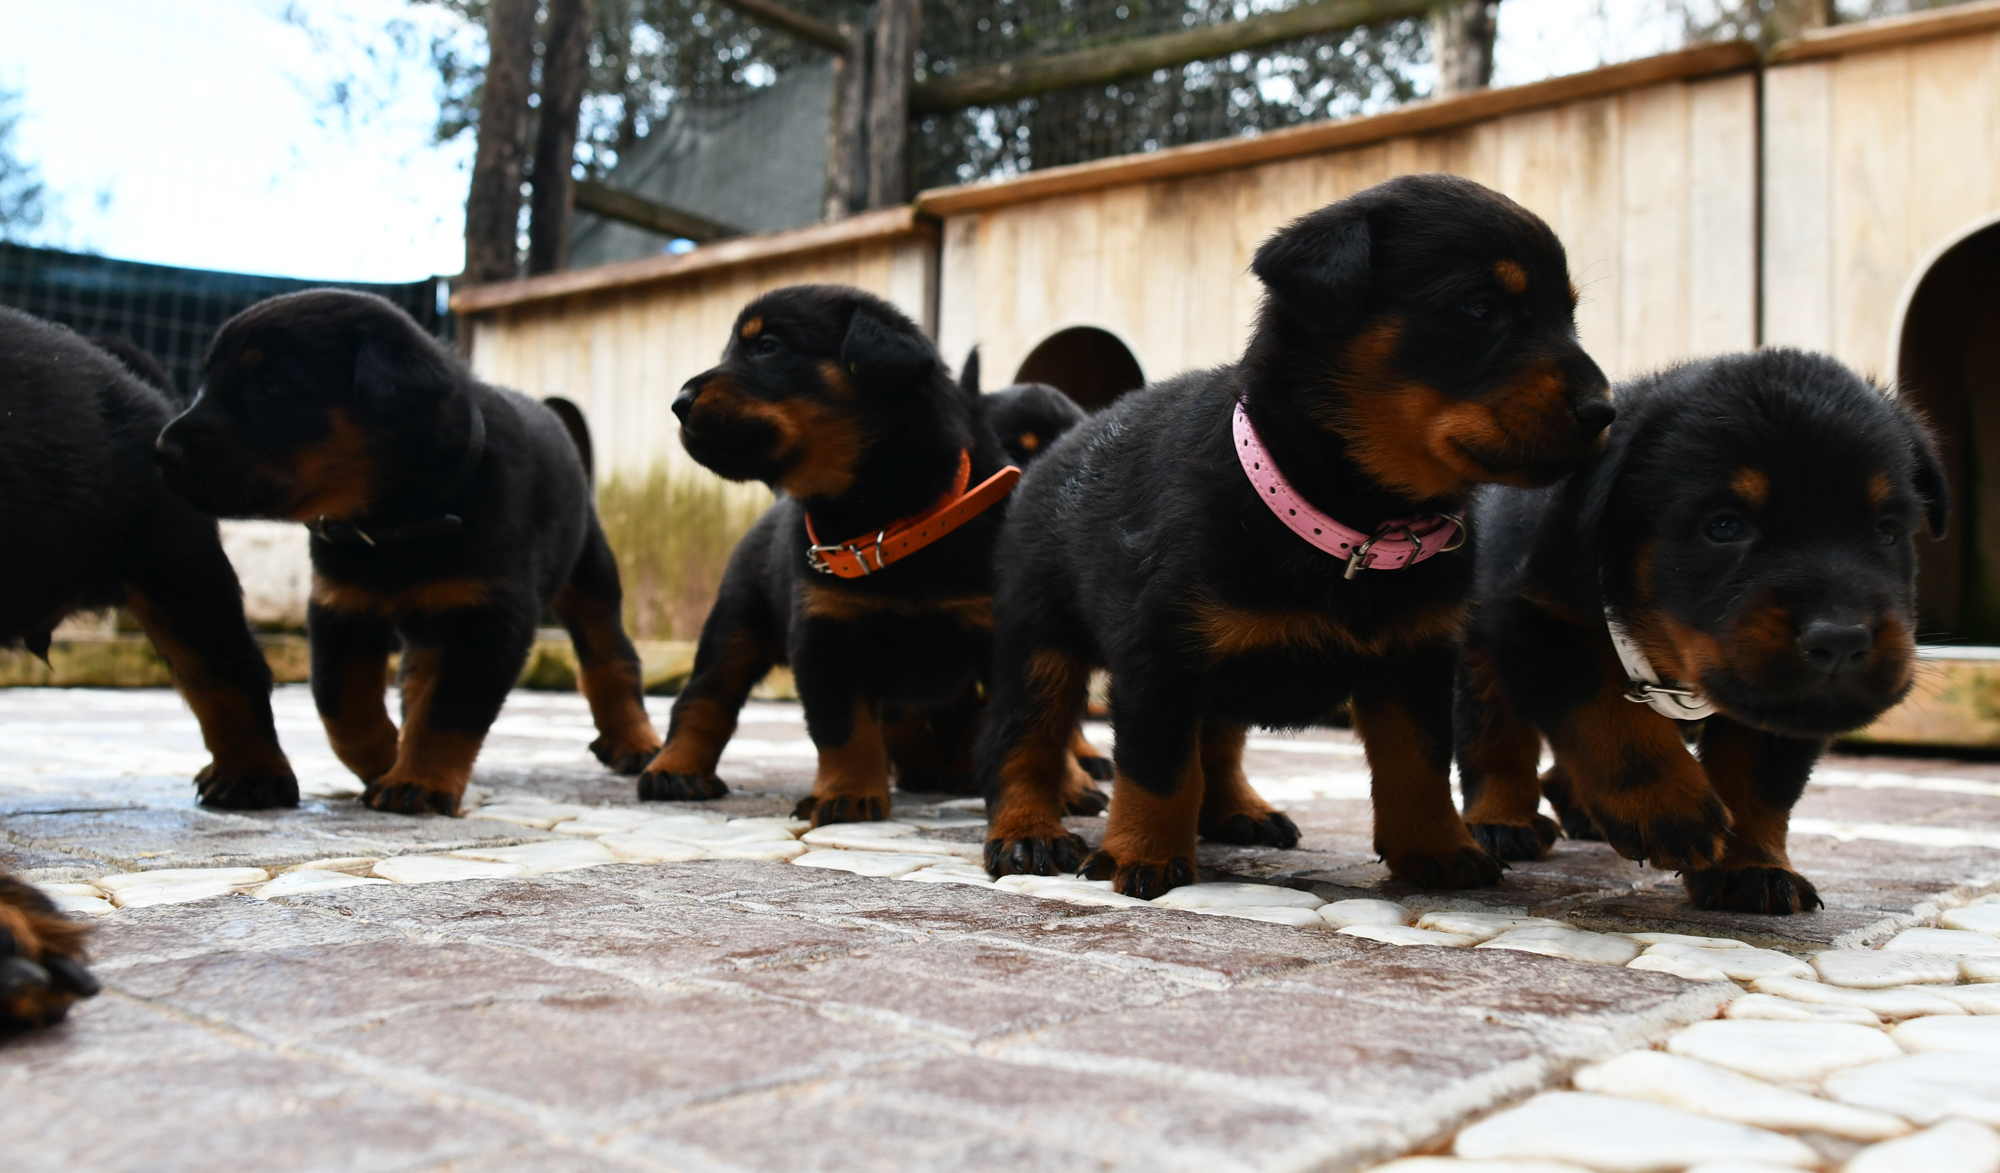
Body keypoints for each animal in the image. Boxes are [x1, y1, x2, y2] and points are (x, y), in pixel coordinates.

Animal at [156, 291, 661, 815]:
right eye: (206, 382)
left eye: (270, 386)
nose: (162, 450)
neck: (396, 522)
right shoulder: (342, 605)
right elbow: (342, 705)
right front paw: (386, 756)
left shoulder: (491, 615)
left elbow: (449, 710)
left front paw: (418, 780)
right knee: (420, 675)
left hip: (588, 572)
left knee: (610, 655)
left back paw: (633, 740)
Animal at [636, 285, 1107, 824]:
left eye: (768, 347)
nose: (679, 402)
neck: (885, 522)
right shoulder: (824, 633)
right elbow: (842, 726)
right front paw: (848, 794)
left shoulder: (1009, 631)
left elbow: (1040, 719)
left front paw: (1067, 785)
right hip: (737, 622)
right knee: (705, 695)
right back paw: (676, 769)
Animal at [976, 173, 1615, 897]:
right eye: (1478, 307)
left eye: (1568, 315)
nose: (1604, 410)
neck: (1350, 523)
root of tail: (1057, 448)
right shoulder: (1158, 654)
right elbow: (1158, 764)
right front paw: (1142, 853)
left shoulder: (1418, 658)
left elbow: (1418, 762)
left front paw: (1438, 847)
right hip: (1039, 639)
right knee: (1022, 739)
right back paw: (1028, 832)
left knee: (1218, 740)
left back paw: (1237, 809)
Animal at [1454, 349, 1947, 914]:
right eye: (1724, 526)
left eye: (1888, 531)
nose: (1841, 640)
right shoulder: (1533, 617)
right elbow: (1607, 714)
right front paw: (1663, 807)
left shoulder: (1787, 702)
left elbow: (1758, 776)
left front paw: (1751, 867)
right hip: (1479, 648)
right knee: (1492, 731)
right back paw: (1503, 821)